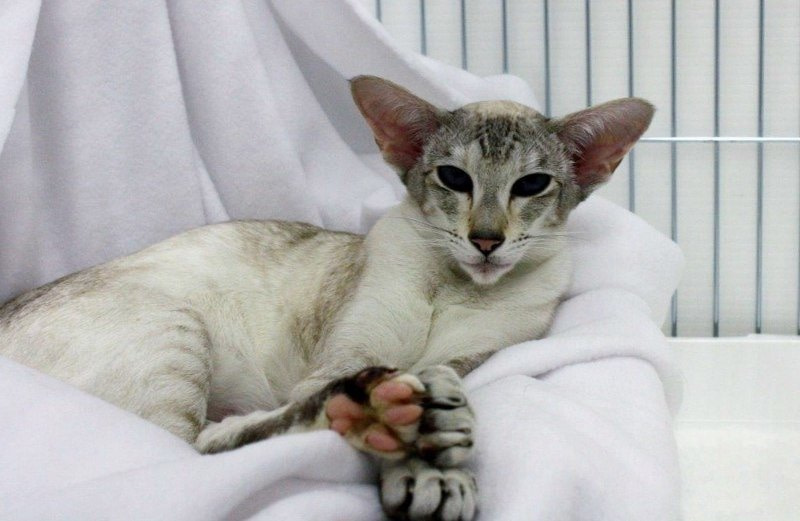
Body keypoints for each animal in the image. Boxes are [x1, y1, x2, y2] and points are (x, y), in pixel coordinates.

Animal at [0, 75, 653, 521]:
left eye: (532, 185)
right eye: (454, 178)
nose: (486, 240)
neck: (451, 286)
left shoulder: (474, 358)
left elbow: (446, 384)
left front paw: (436, 455)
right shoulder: (345, 355)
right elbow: (369, 403)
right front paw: (426, 466)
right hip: (176, 333)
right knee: (200, 451)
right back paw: (370, 404)